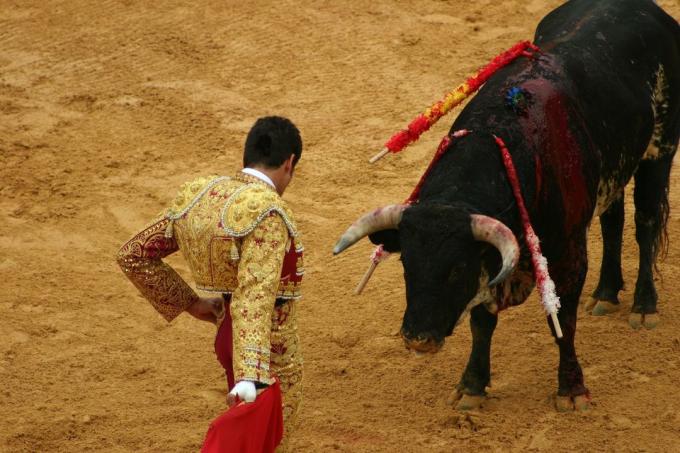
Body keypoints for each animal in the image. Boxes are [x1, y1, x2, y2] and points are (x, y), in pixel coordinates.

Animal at [332, 0, 676, 410]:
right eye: (406, 266)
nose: (418, 339)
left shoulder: (567, 256)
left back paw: (643, 305)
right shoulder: (493, 259)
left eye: (456, 270)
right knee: (613, 220)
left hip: (659, 150)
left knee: (646, 223)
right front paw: (472, 385)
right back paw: (607, 293)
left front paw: (572, 389)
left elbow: (563, 322)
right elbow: (482, 322)